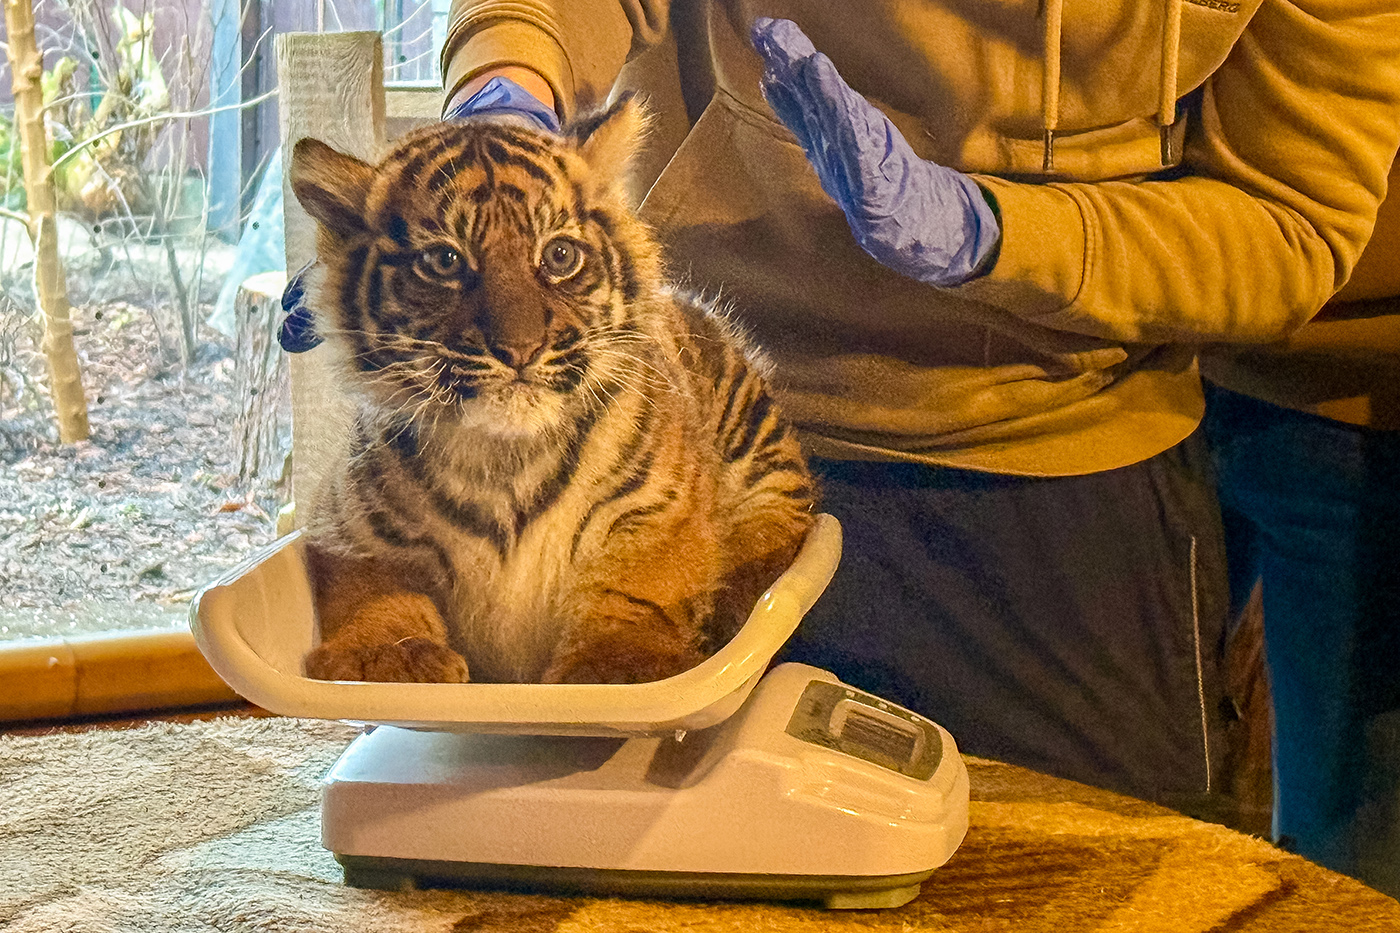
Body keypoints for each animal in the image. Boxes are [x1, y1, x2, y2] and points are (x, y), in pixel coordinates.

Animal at [286, 95, 817, 685]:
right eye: (445, 261)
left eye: (559, 256)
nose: (520, 349)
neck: (504, 457)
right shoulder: (348, 529)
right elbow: (376, 590)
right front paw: (391, 659)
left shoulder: (656, 514)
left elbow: (639, 586)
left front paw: (616, 666)